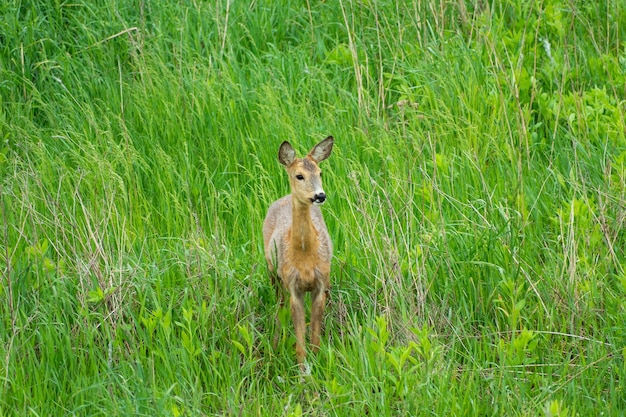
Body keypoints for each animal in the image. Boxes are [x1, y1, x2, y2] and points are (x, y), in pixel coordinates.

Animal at [260, 135, 334, 372]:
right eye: (299, 175)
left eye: (320, 172)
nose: (320, 195)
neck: (305, 259)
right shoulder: (294, 287)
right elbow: (300, 341)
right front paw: (303, 371)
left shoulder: (320, 284)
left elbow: (315, 338)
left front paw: (318, 365)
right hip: (272, 272)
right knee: (279, 307)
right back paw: (276, 343)